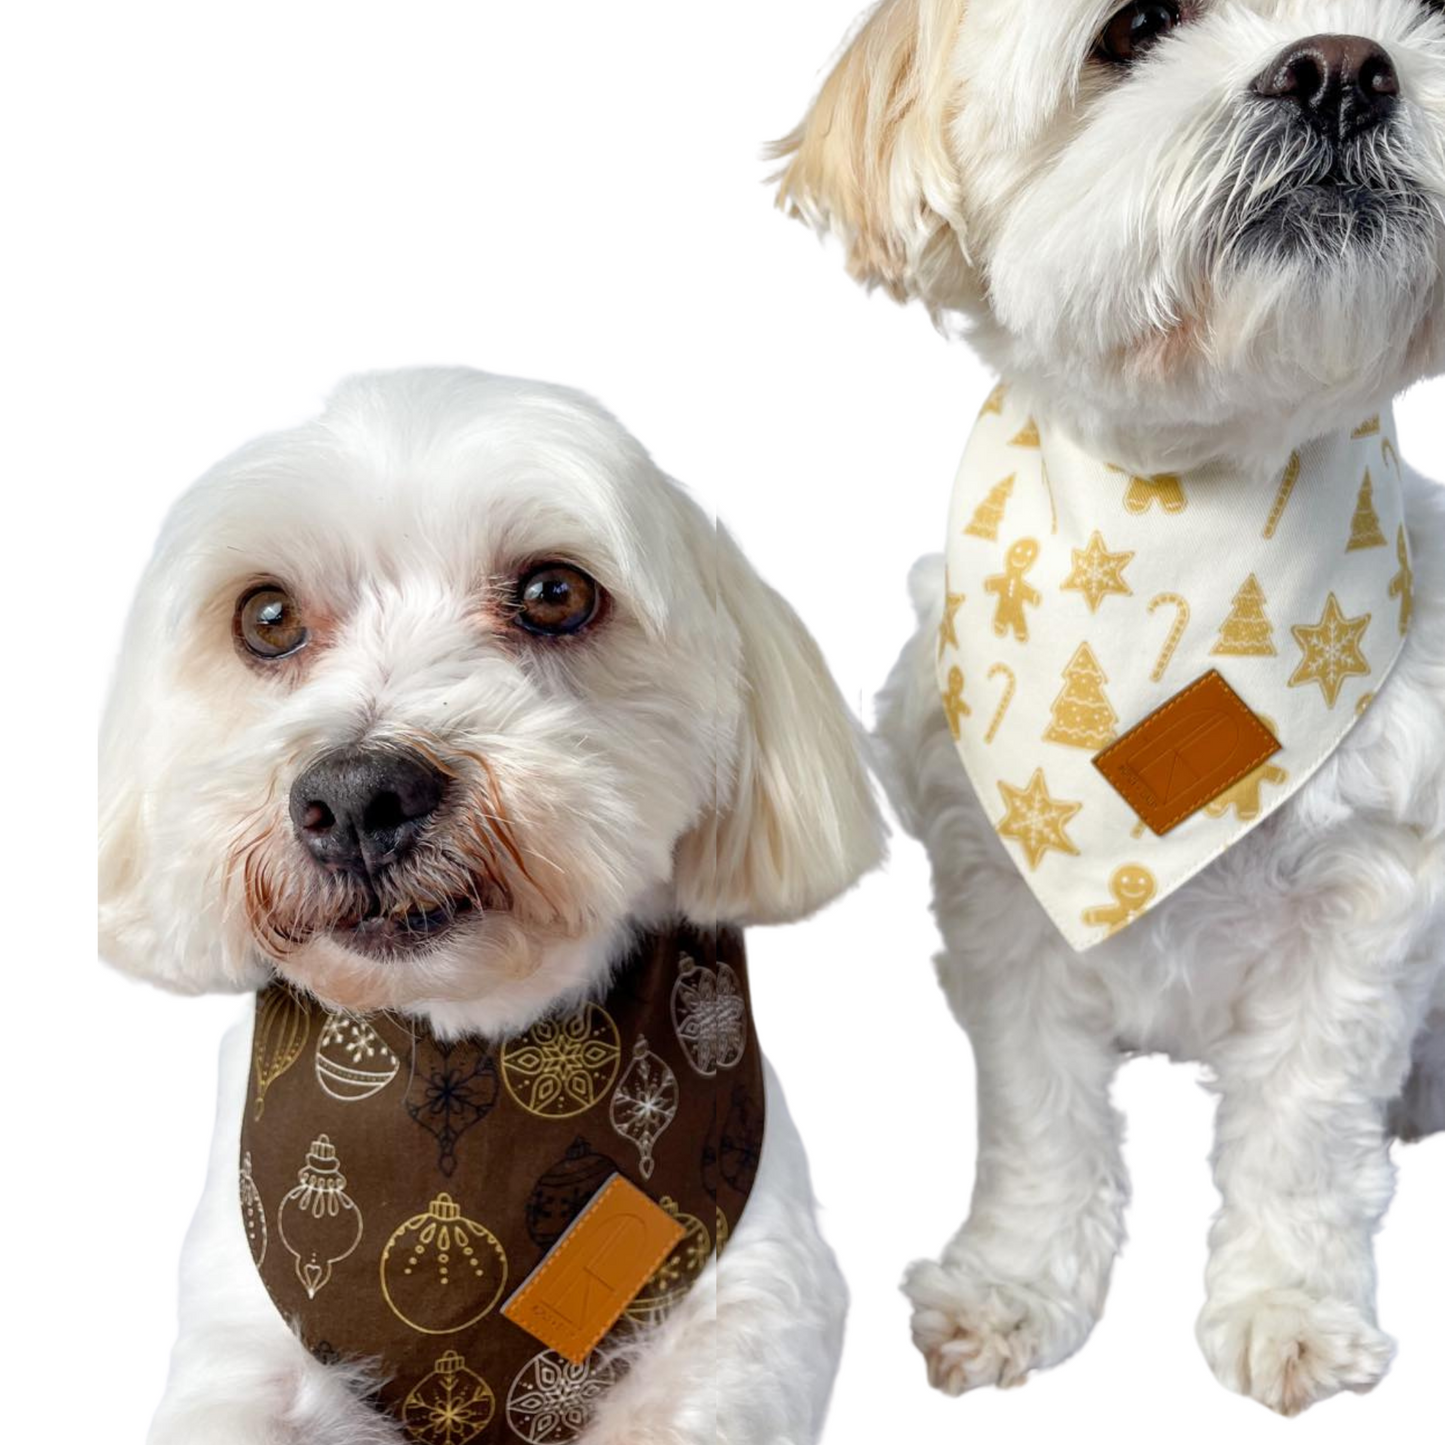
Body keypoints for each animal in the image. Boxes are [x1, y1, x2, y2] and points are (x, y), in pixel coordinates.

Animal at [780, 0, 1445, 1416]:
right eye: (1131, 28)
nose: (1343, 67)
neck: (1187, 503)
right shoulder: (1005, 900)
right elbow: (1039, 1118)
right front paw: (1014, 1286)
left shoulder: (1362, 908)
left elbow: (1303, 1129)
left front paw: (1286, 1305)